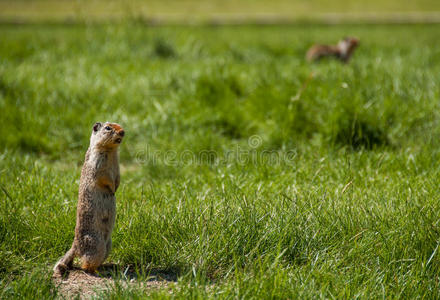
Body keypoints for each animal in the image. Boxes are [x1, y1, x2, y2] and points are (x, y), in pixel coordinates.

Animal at [54, 122, 125, 276]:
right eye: (108, 128)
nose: (123, 132)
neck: (111, 151)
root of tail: (75, 246)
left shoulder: (117, 166)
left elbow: (117, 177)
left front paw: (116, 188)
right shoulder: (98, 164)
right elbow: (104, 178)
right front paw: (112, 190)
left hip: (108, 245)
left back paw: (104, 267)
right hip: (96, 245)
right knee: (85, 264)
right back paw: (97, 272)